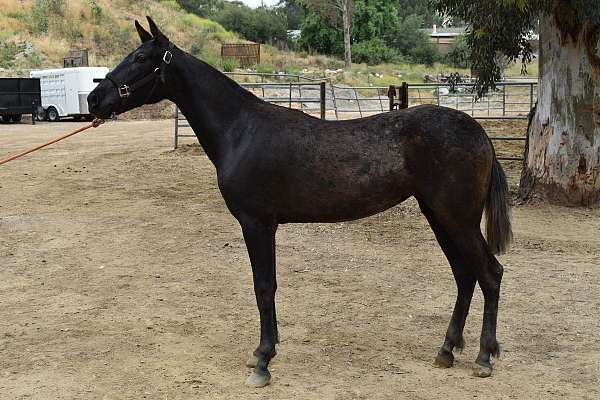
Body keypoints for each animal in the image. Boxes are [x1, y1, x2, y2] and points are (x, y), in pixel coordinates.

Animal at [88, 17, 510, 386]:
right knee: (465, 275)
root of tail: (480, 134)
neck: (241, 130)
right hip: (439, 216)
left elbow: (264, 286)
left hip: (457, 219)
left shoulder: (257, 223)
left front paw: (263, 360)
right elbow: (266, 286)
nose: (94, 99)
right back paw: (447, 350)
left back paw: (484, 357)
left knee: (490, 274)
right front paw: (263, 352)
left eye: (141, 58)